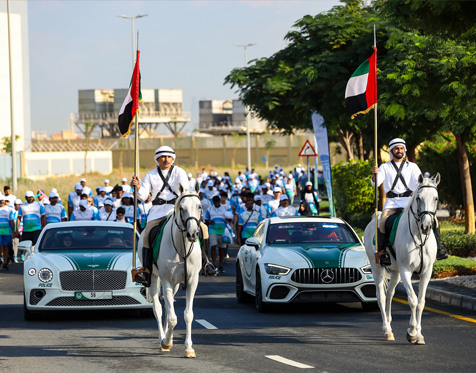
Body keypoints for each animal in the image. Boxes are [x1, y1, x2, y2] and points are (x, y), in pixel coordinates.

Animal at [137, 182, 202, 356]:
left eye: (199, 206)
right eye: (182, 208)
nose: (193, 234)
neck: (182, 247)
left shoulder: (192, 281)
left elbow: (188, 315)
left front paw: (188, 347)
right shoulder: (166, 280)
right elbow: (172, 318)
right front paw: (166, 342)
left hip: (176, 285)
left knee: (167, 307)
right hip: (154, 279)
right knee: (159, 309)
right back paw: (163, 340)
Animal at [366, 174, 440, 342]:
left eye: (436, 198)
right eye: (418, 198)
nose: (427, 226)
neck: (419, 238)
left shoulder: (426, 272)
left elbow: (421, 302)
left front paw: (419, 334)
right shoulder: (406, 270)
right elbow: (412, 299)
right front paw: (412, 332)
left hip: (395, 272)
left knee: (389, 294)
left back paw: (389, 324)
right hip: (377, 267)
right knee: (380, 296)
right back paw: (386, 329)